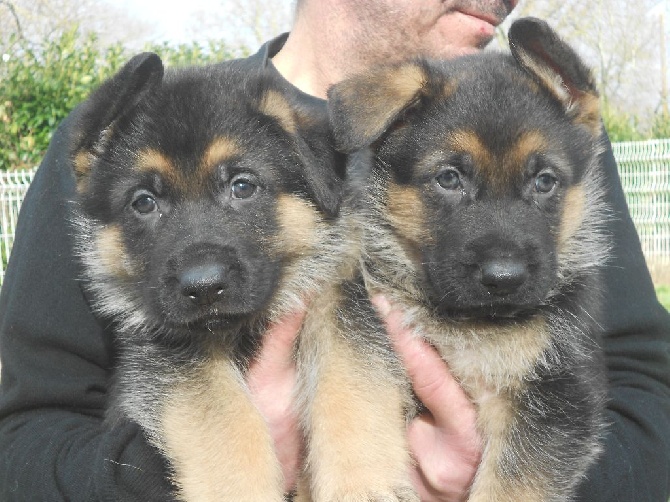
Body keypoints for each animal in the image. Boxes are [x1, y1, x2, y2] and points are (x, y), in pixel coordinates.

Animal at [68, 53, 414, 500]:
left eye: (242, 186)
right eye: (143, 202)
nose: (203, 287)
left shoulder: (341, 292)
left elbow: (352, 375)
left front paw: (363, 483)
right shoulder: (166, 352)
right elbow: (225, 419)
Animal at [328, 16, 612, 502]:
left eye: (545, 181)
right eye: (449, 178)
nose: (504, 278)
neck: (466, 320)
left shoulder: (558, 398)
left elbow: (512, 486)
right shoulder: (363, 317)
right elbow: (356, 389)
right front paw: (363, 482)